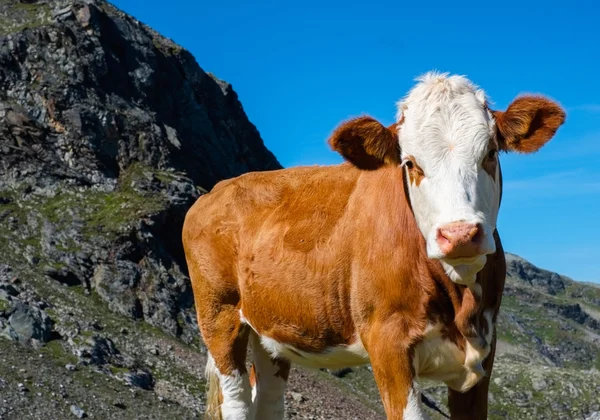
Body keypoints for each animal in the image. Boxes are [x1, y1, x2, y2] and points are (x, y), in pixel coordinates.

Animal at [180, 71, 564, 416]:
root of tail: (218, 189)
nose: (459, 234)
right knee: (236, 399)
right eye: (410, 163)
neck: (460, 298)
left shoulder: (484, 352)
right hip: (218, 315)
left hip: (272, 331)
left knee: (268, 400)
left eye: (490, 153)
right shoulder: (388, 343)